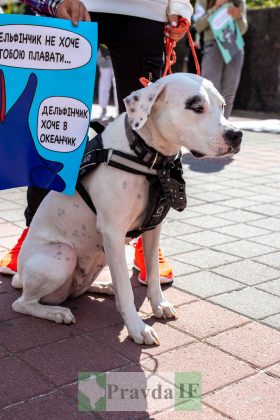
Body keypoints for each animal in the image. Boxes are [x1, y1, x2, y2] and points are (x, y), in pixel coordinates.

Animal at [11, 74, 243, 346]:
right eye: (196, 106)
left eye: (222, 106)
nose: (237, 134)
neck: (147, 157)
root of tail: (21, 275)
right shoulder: (112, 232)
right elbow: (126, 289)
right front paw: (137, 328)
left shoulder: (153, 228)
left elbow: (152, 273)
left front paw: (159, 304)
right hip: (62, 256)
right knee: (22, 303)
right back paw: (57, 312)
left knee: (79, 289)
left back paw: (103, 287)